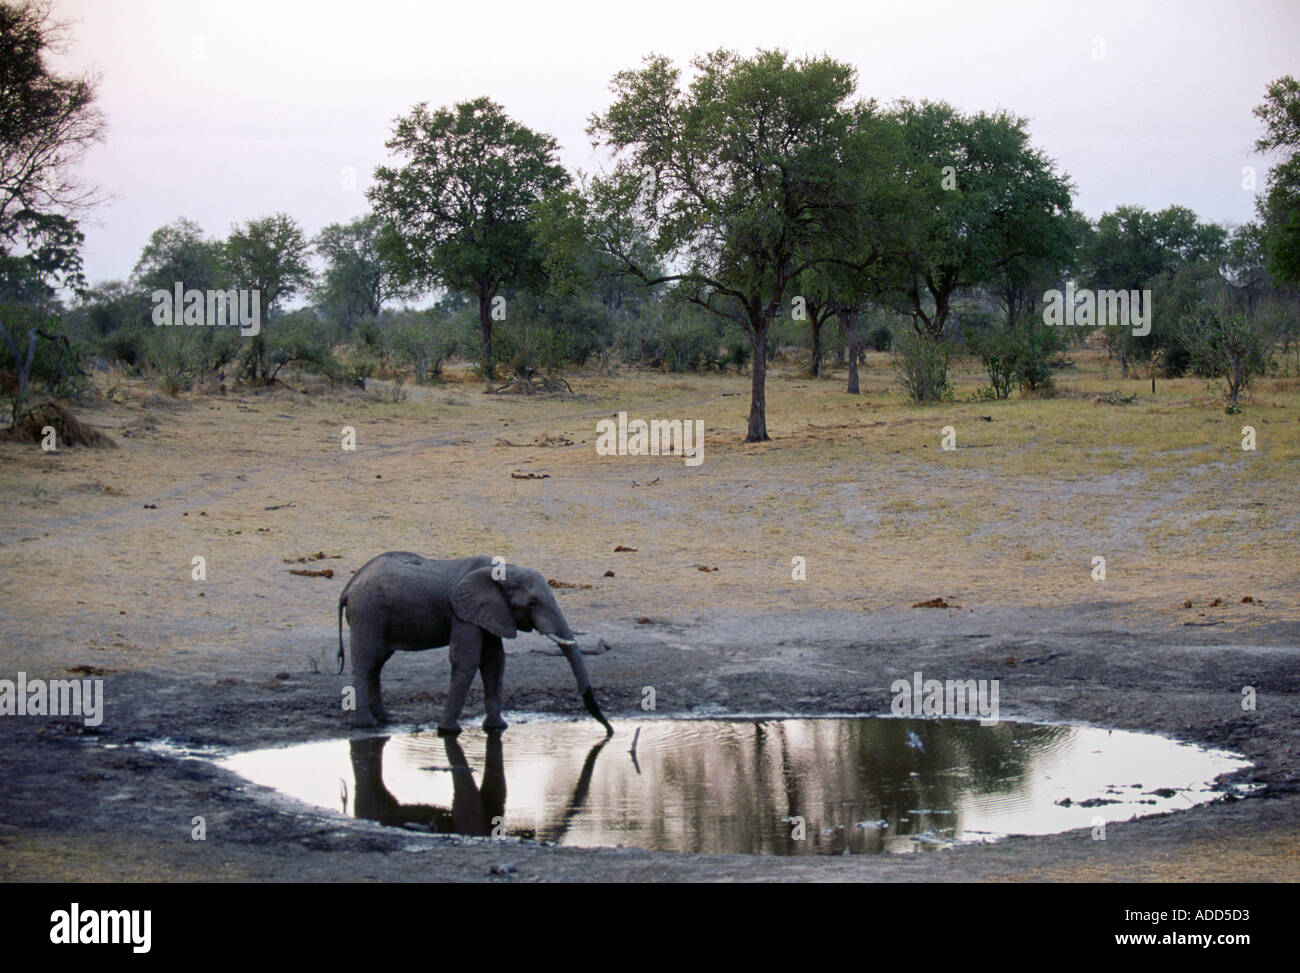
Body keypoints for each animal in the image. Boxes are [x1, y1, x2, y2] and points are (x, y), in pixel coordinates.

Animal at [335, 551, 608, 733]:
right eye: (532, 603)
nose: (608, 731)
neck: (502, 571)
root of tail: (348, 587)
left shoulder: (489, 611)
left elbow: (494, 660)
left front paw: (497, 728)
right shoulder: (462, 613)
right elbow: (467, 659)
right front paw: (448, 731)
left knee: (377, 662)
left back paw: (384, 719)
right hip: (368, 611)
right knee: (367, 659)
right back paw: (365, 724)